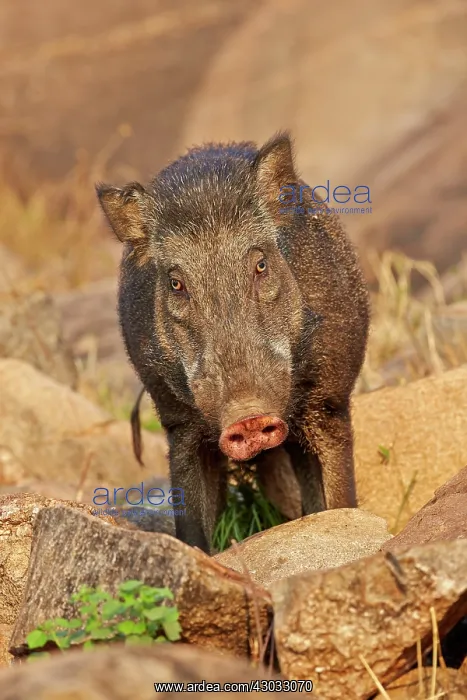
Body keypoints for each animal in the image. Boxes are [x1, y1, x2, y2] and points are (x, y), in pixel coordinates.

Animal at [96, 132, 370, 554]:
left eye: (260, 264)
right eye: (176, 283)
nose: (247, 415)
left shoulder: (330, 402)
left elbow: (337, 499)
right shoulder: (178, 422)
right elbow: (193, 524)